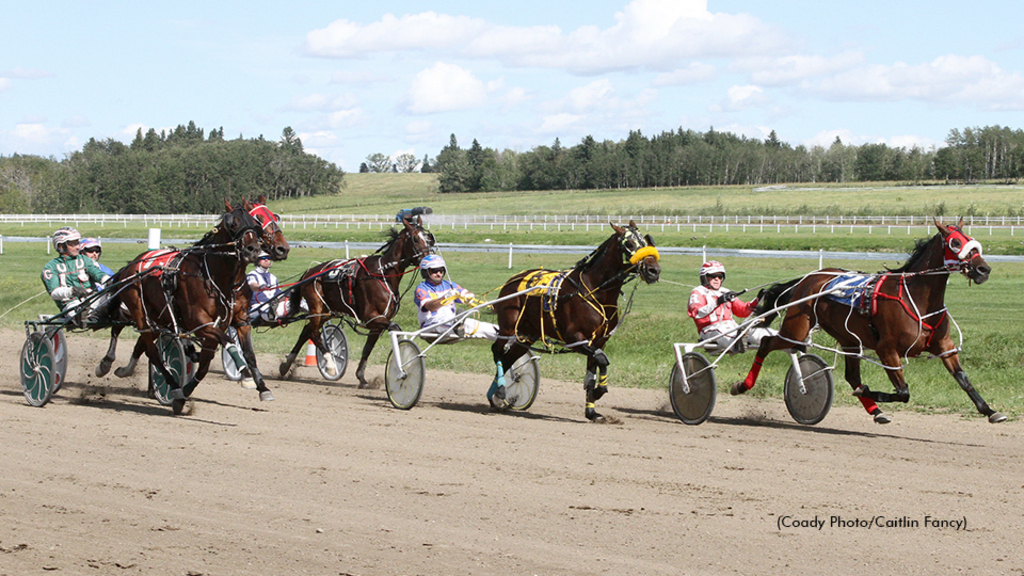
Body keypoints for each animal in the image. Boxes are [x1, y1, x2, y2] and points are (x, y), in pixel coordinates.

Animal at [280, 215, 436, 385]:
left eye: (428, 238)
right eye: (415, 239)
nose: (429, 258)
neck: (382, 274)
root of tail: (309, 273)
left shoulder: (378, 322)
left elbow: (367, 348)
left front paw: (361, 376)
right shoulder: (371, 317)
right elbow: (395, 328)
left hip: (327, 312)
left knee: (306, 331)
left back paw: (286, 365)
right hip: (316, 307)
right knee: (313, 333)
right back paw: (329, 364)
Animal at [489, 220, 663, 422]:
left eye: (646, 241)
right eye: (629, 244)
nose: (654, 271)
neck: (595, 290)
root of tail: (513, 280)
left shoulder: (598, 342)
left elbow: (593, 370)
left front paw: (592, 411)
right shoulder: (574, 339)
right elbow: (602, 361)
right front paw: (599, 392)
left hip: (526, 335)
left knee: (509, 357)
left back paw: (495, 395)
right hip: (508, 327)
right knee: (498, 352)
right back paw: (501, 390)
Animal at [733, 217, 1003, 424]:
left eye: (971, 240)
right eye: (955, 243)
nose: (984, 269)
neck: (917, 297)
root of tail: (808, 278)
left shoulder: (944, 346)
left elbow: (964, 380)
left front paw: (990, 411)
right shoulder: (887, 350)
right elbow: (903, 392)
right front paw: (869, 391)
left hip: (848, 339)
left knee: (851, 375)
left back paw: (877, 411)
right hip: (796, 328)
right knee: (767, 343)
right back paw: (742, 386)